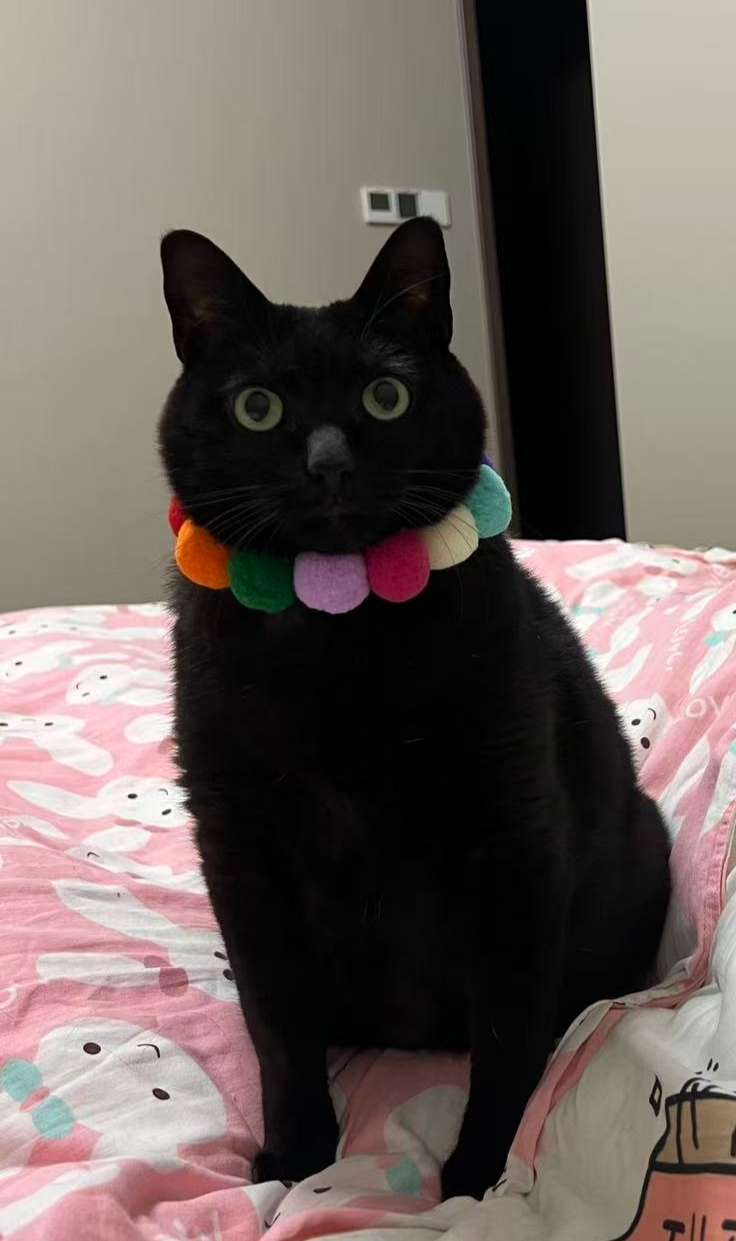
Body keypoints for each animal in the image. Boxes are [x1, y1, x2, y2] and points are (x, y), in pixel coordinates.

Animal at [158, 218, 670, 1200]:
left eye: (385, 395)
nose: (328, 465)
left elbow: (508, 1040)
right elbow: (278, 1030)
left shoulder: (514, 846)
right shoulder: (241, 852)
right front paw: (294, 1163)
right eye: (257, 408)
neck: (338, 633)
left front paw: (478, 1180)